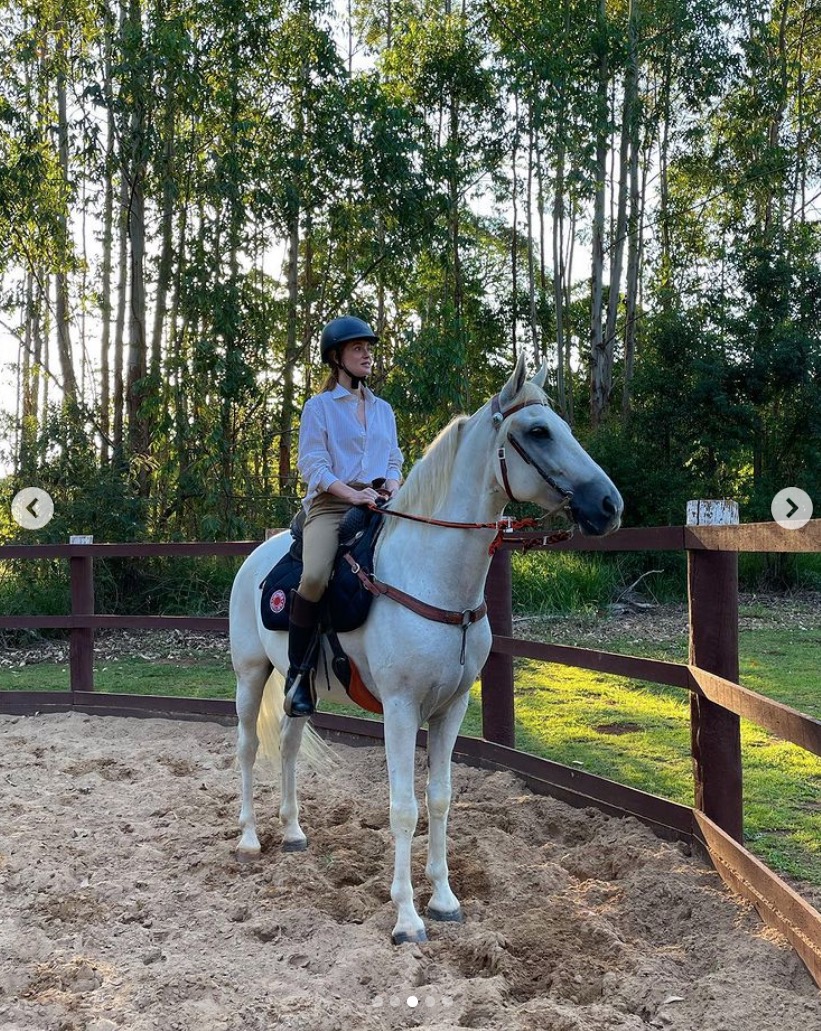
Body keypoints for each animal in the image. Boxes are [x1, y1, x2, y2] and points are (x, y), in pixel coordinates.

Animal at [229, 353, 623, 944]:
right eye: (538, 431)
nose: (609, 504)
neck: (433, 578)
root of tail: (256, 557)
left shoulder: (450, 708)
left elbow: (439, 799)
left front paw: (443, 900)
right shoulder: (400, 710)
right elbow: (403, 808)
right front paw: (407, 919)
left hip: (301, 688)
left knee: (290, 745)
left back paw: (294, 831)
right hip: (251, 675)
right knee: (250, 747)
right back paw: (250, 838)